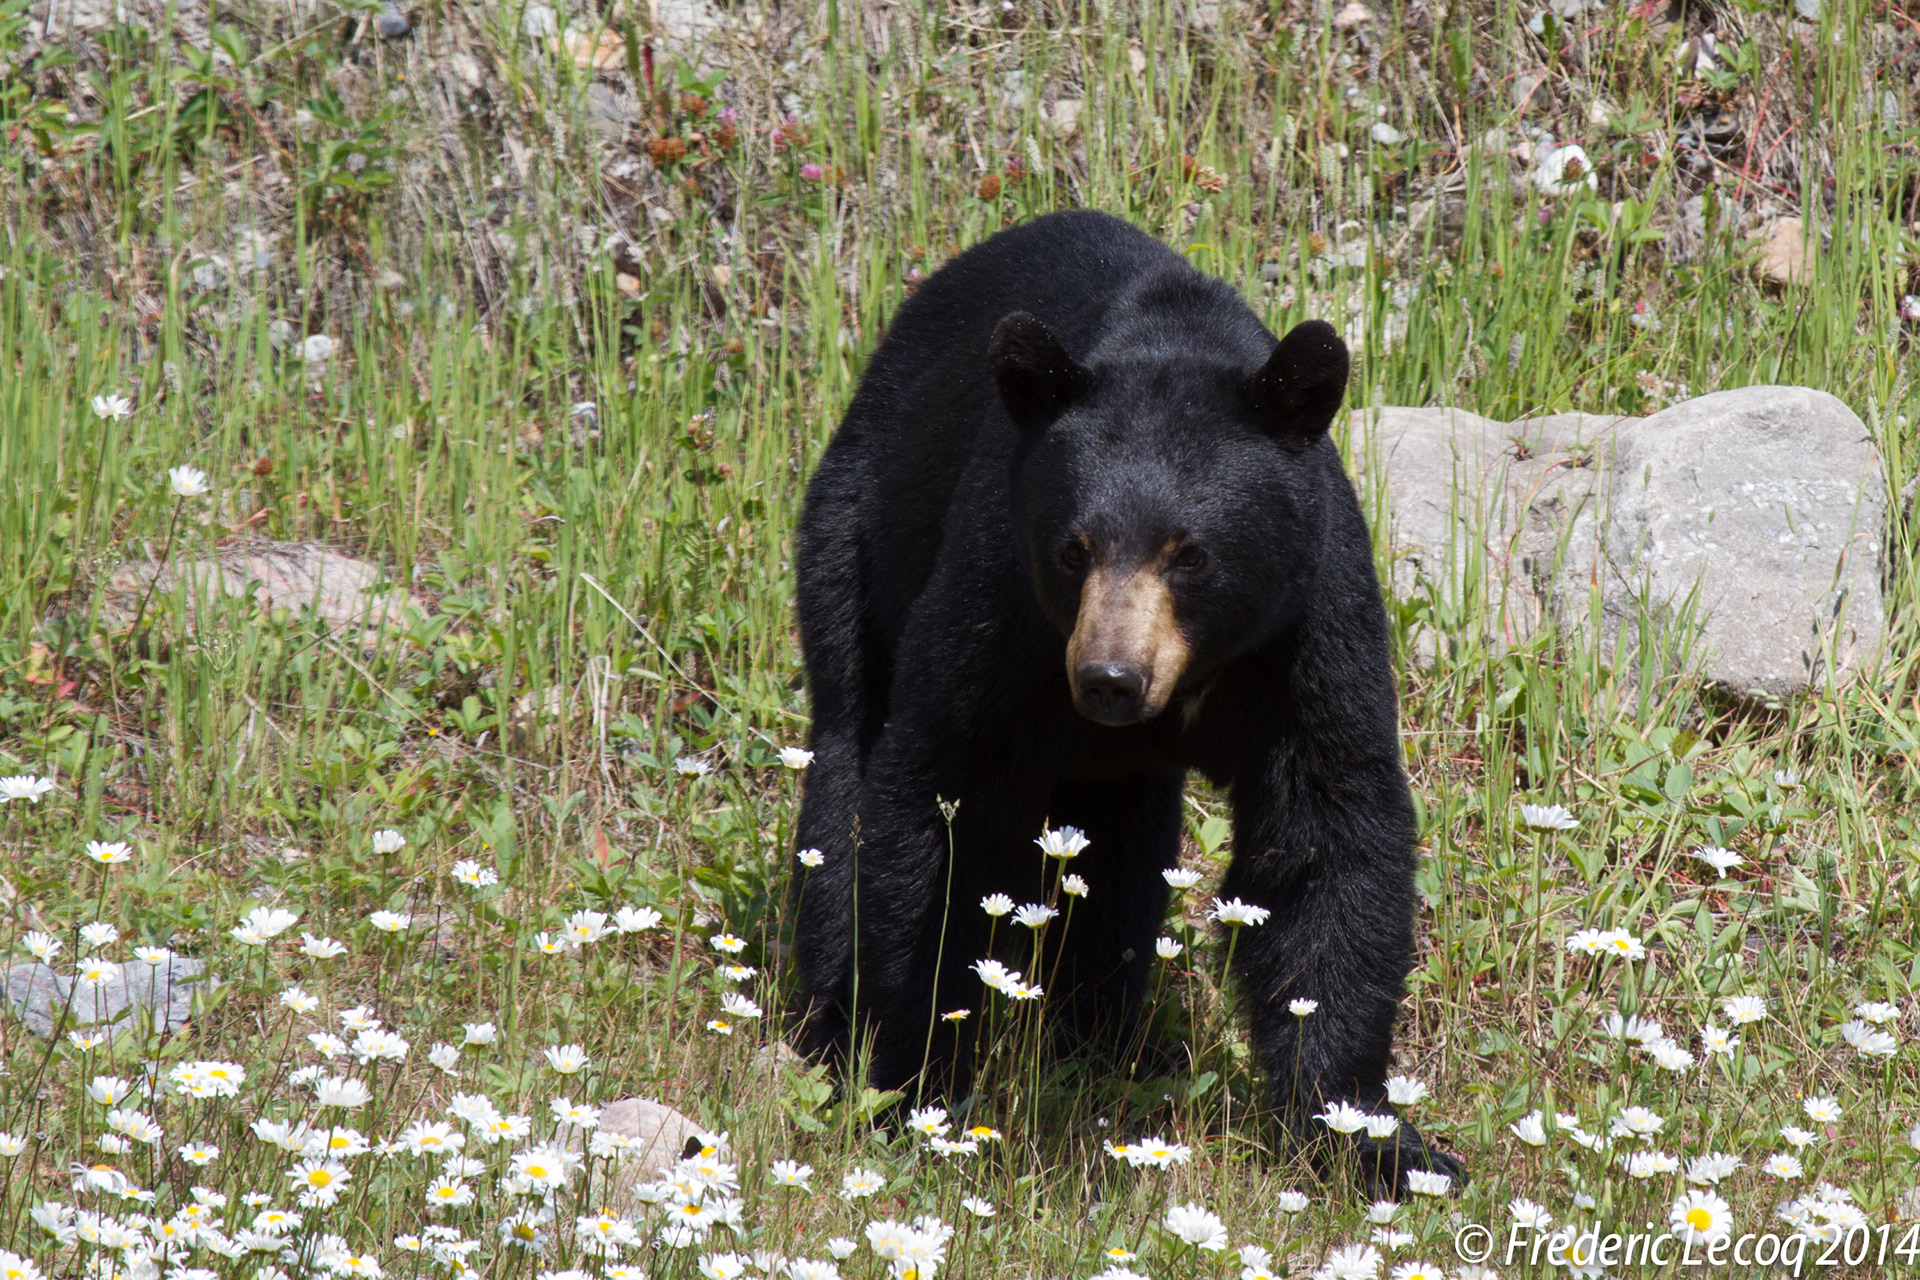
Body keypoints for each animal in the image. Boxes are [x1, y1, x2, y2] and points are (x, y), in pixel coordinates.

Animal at [788, 209, 1462, 1197]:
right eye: (1075, 548)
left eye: (1191, 554)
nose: (1109, 679)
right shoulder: (999, 603)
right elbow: (933, 799)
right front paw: (920, 1088)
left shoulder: (1308, 623)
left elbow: (1328, 828)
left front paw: (1371, 1138)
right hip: (858, 535)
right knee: (846, 771)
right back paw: (836, 1021)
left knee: (1121, 857)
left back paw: (1105, 1039)